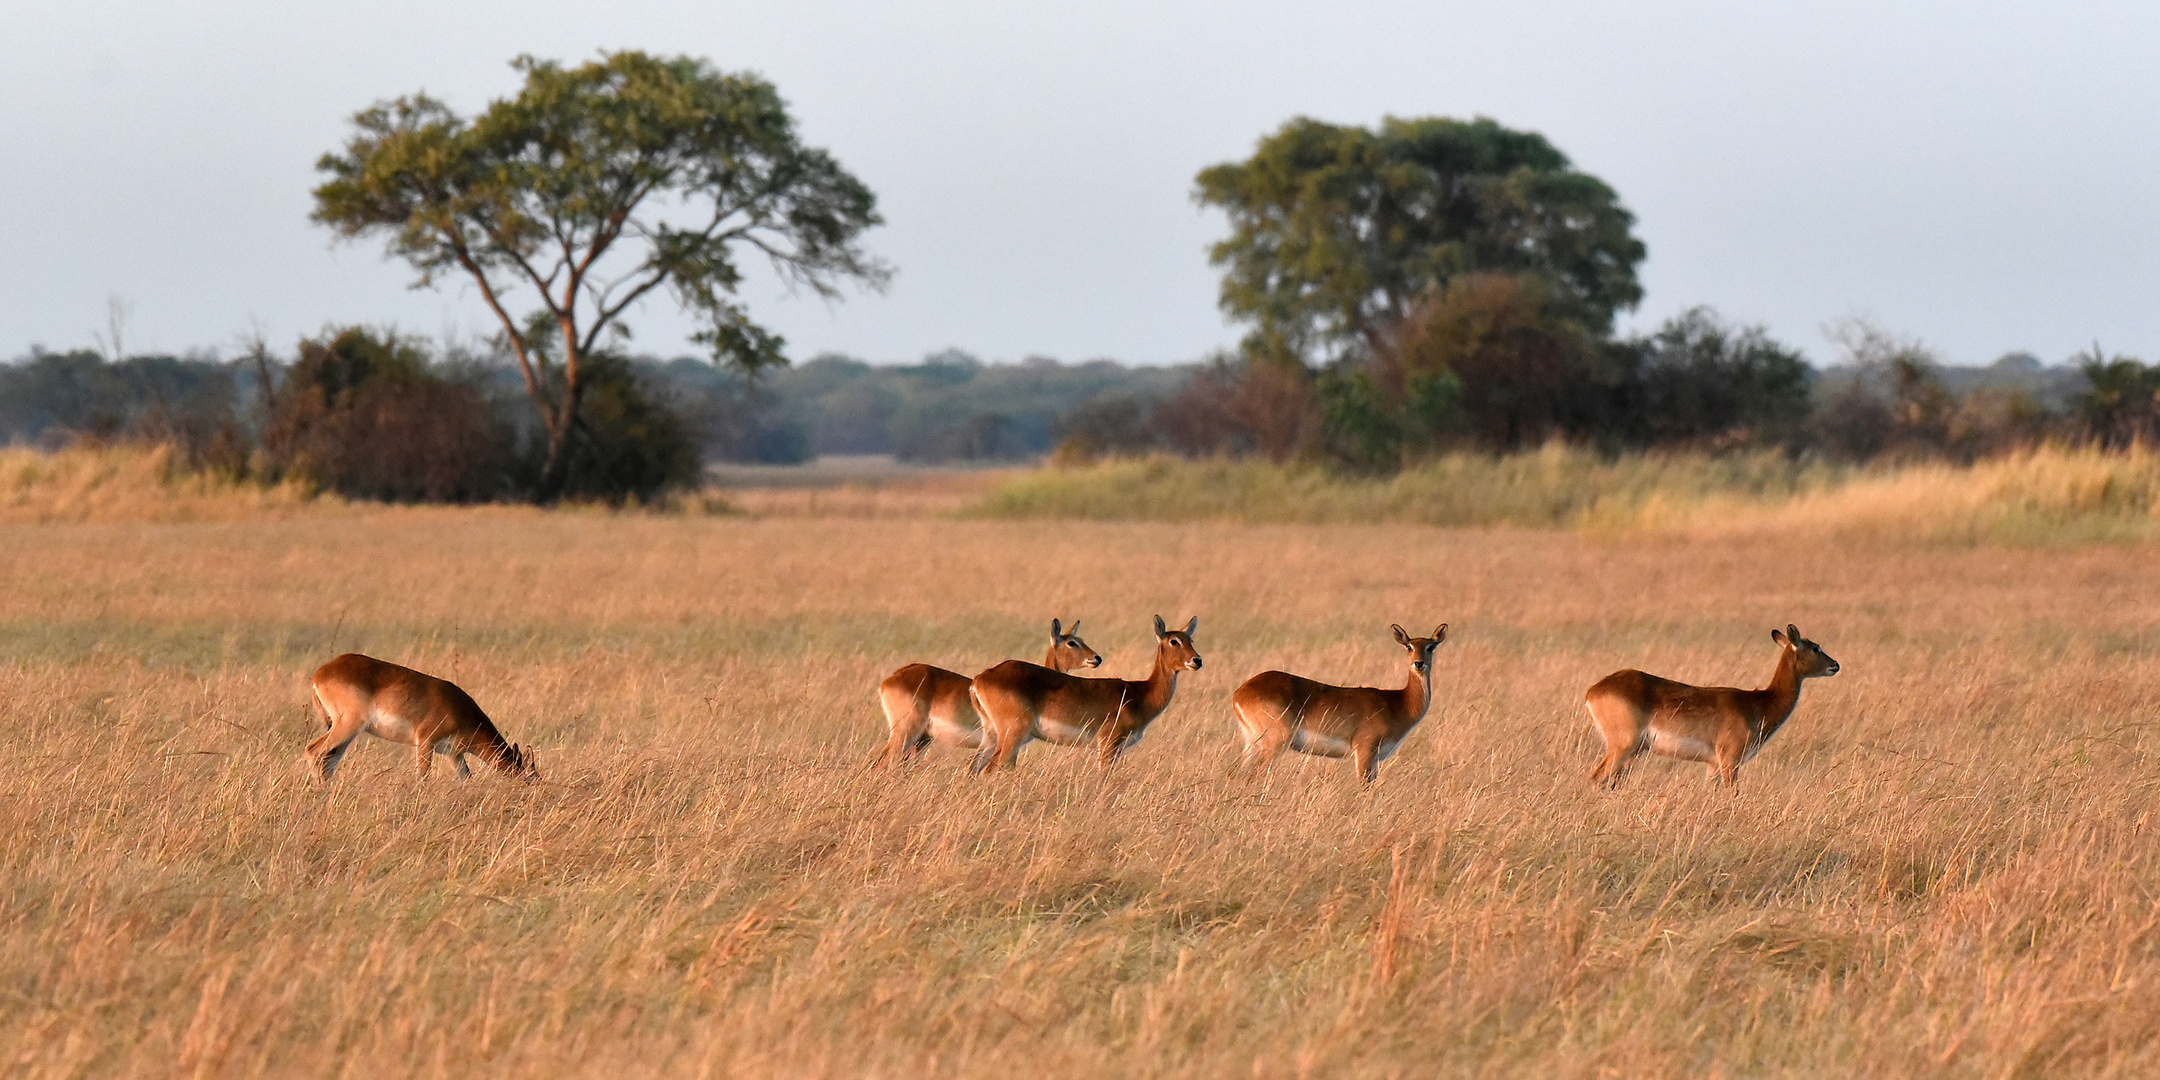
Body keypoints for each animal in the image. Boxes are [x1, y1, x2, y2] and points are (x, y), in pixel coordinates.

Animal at [304, 652, 535, 781]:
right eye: (529, 777)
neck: (459, 711)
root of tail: (322, 672)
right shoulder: (425, 743)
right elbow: (423, 778)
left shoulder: (454, 754)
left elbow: (466, 779)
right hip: (347, 726)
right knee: (313, 751)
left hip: (347, 733)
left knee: (328, 762)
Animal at [976, 617, 1209, 768]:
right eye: (1174, 641)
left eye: (1190, 640)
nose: (1197, 660)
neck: (1140, 694)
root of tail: (981, 678)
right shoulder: (1108, 744)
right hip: (1013, 735)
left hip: (992, 736)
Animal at [1235, 626, 1451, 786]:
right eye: (1409, 646)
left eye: (1431, 646)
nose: (1418, 663)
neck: (1398, 702)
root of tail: (1240, 692)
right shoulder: (1365, 751)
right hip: (1275, 742)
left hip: (1251, 743)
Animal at [1589, 622, 1840, 790]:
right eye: (1815, 647)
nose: (1835, 665)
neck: (1759, 704)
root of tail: (1594, 690)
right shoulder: (1730, 761)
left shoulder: (1713, 765)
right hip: (1623, 747)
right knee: (1597, 777)